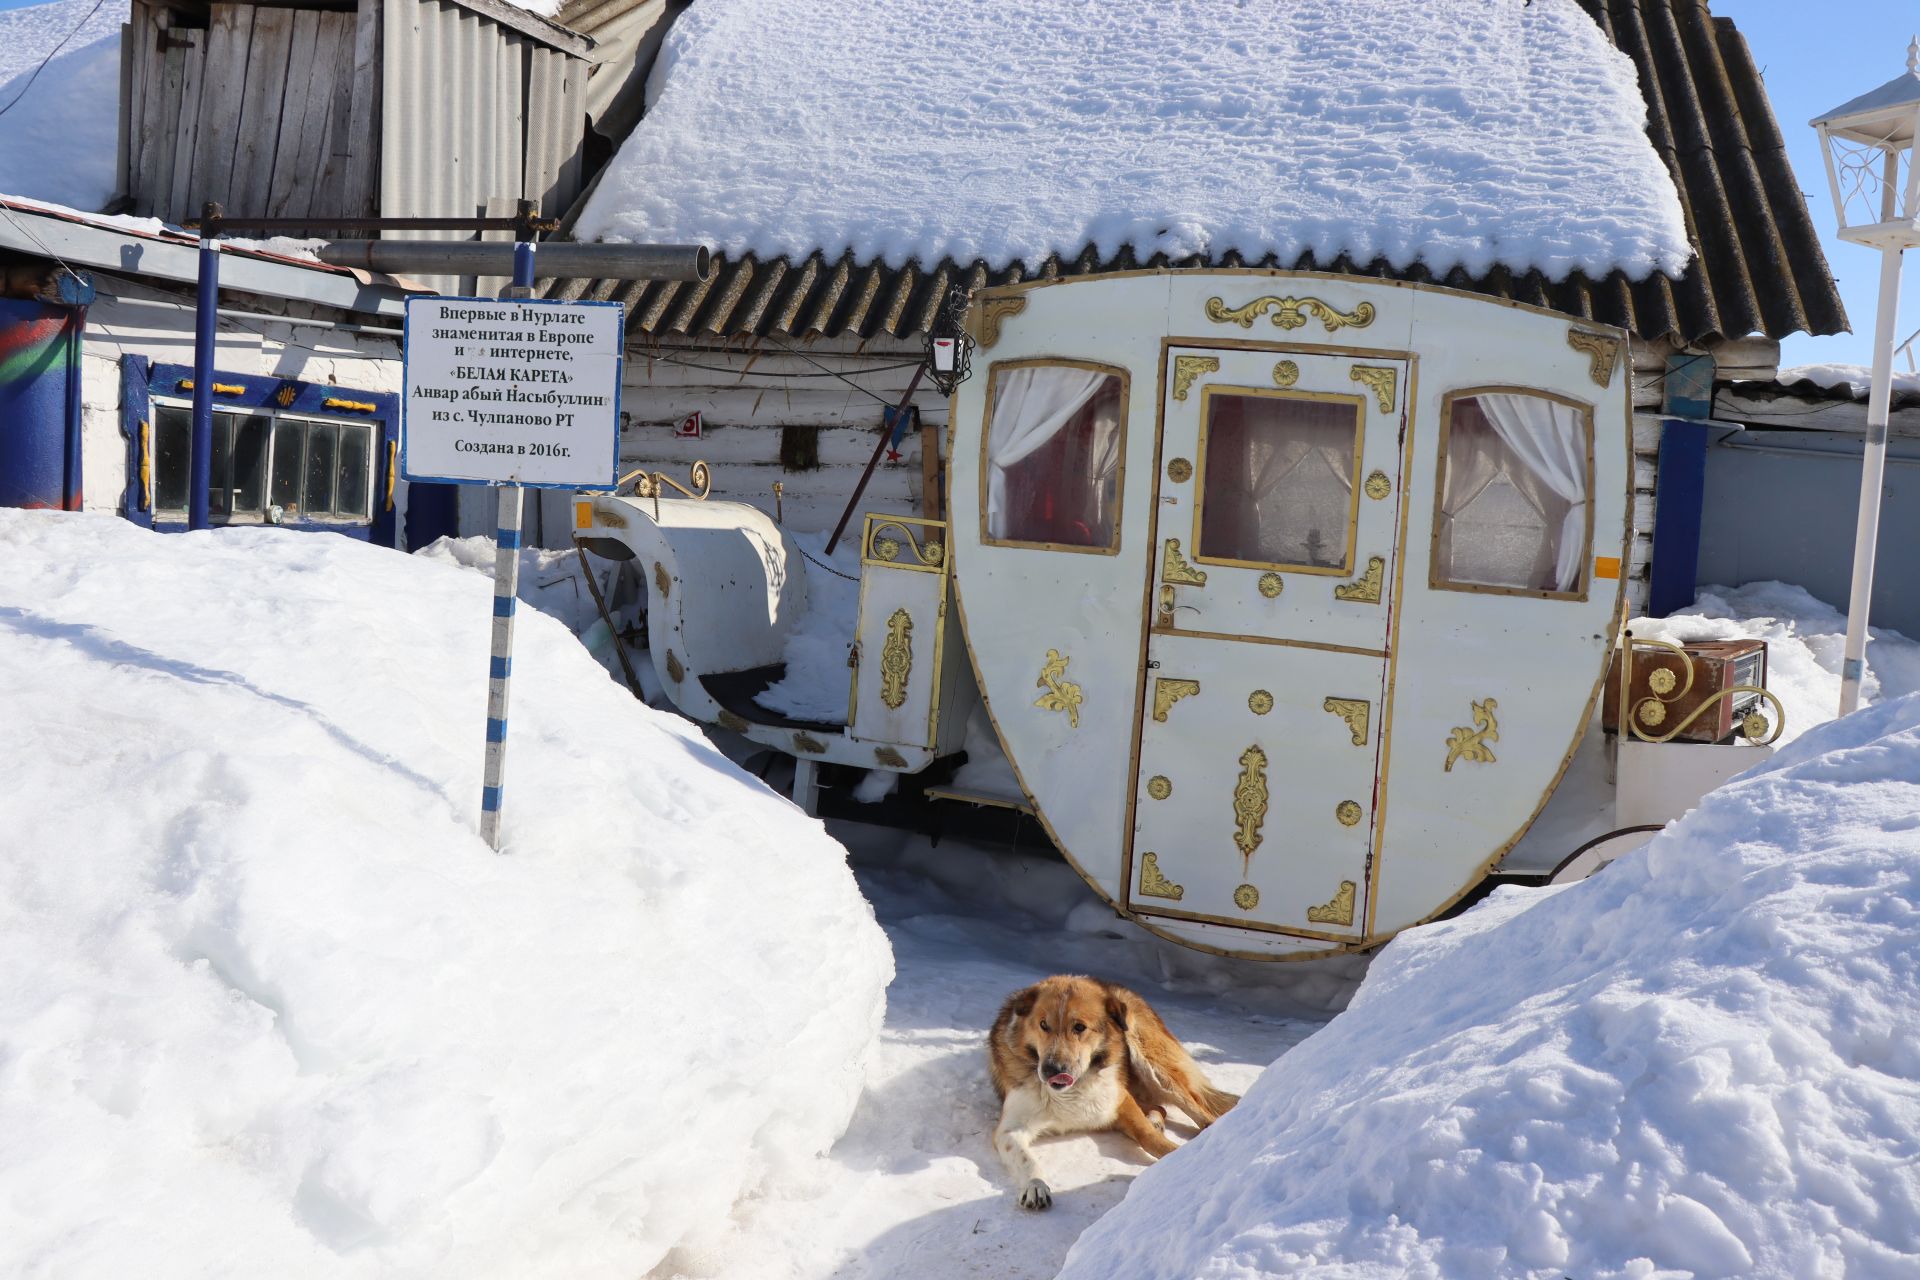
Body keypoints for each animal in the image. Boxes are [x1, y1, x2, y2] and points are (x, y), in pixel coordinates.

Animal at [990, 982, 1244, 1212]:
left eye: (1079, 1027)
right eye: (1043, 1025)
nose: (1051, 1070)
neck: (1072, 1090)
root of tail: (1114, 987)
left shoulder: (1119, 1100)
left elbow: (1149, 1137)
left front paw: (1176, 1155)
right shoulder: (1010, 1130)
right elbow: (1027, 1159)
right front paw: (1035, 1186)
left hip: (1151, 1063)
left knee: (1201, 1112)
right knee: (1160, 1107)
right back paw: (1155, 1119)